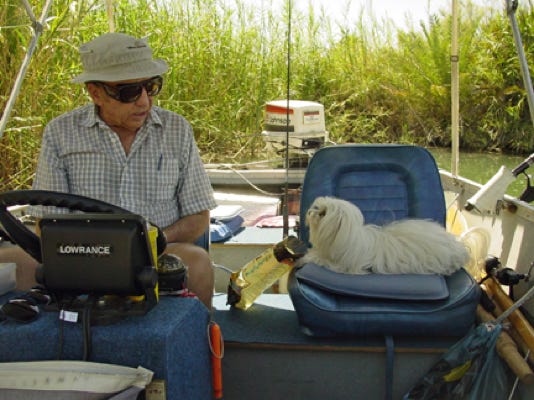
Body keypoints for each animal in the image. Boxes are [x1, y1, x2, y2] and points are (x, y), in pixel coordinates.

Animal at [299, 196, 469, 275]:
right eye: (317, 207)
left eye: (323, 213)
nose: (311, 212)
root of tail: (458, 248)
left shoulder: (342, 264)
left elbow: (320, 259)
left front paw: (308, 258)